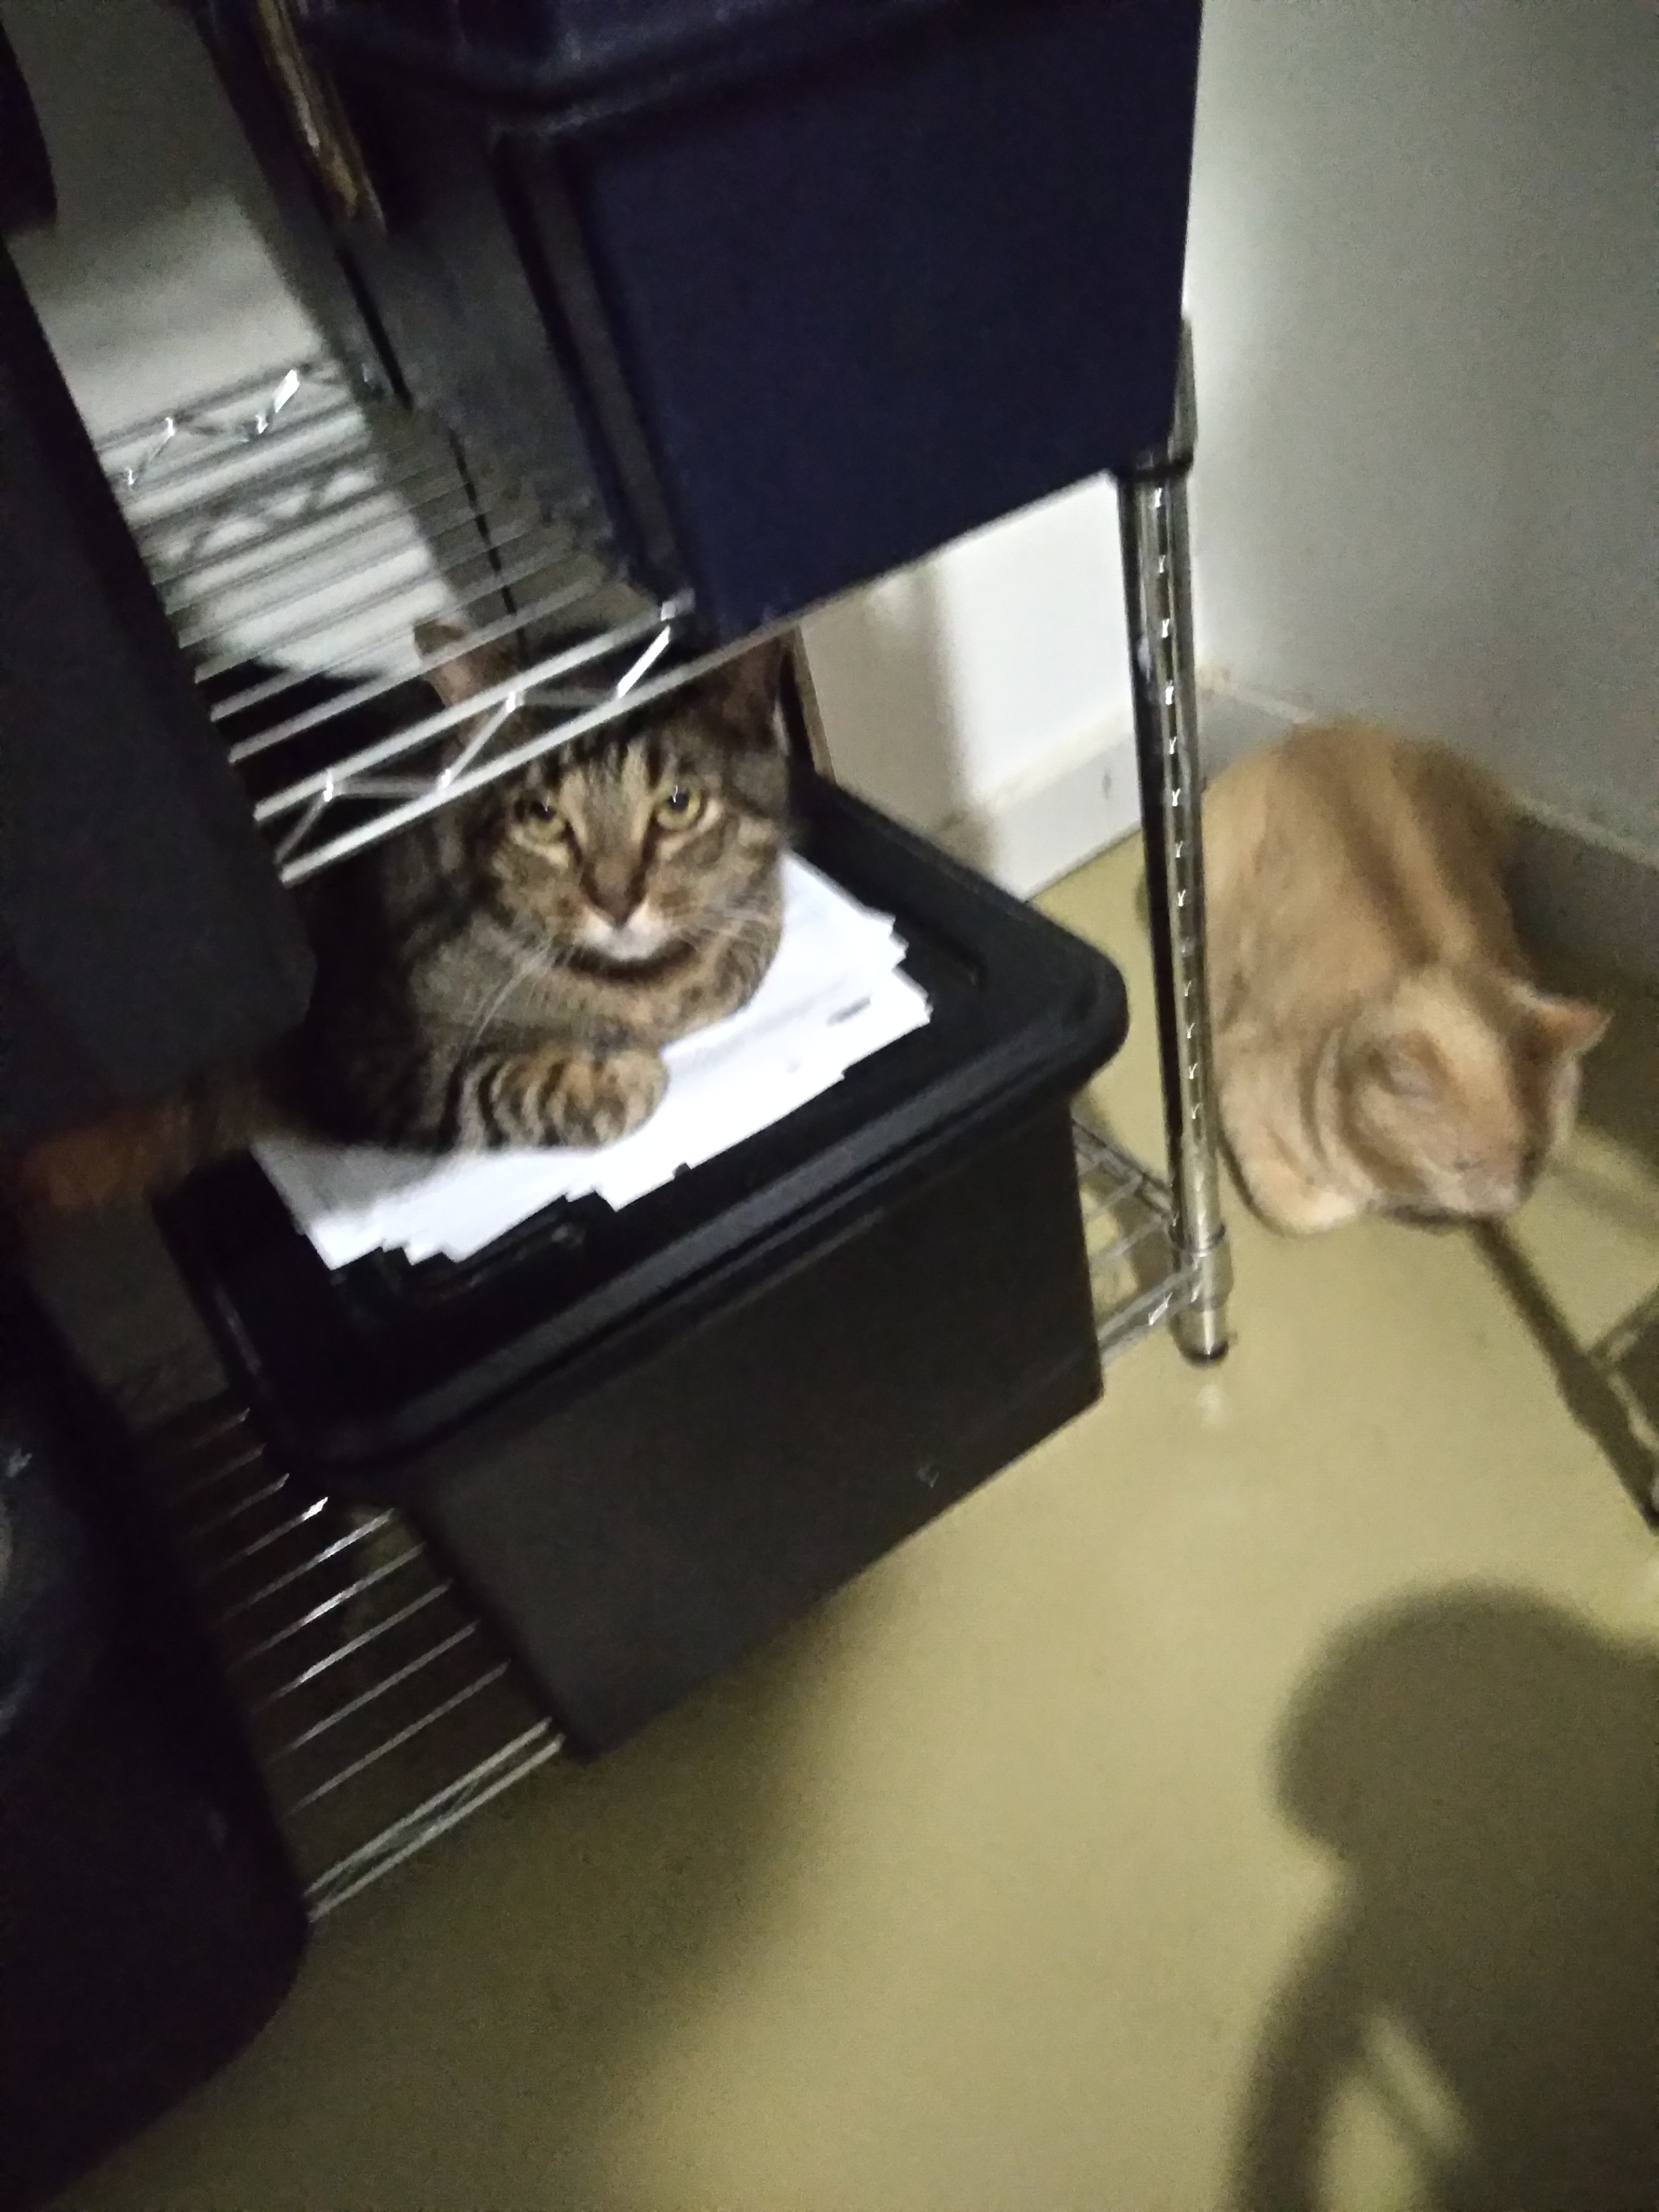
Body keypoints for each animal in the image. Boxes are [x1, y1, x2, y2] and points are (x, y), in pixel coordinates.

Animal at [1212, 726, 1610, 1248]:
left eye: (1532, 1157)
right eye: (1461, 1164)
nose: (1506, 1207)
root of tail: (1310, 731)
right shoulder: (1239, 1080)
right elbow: (1304, 1209)